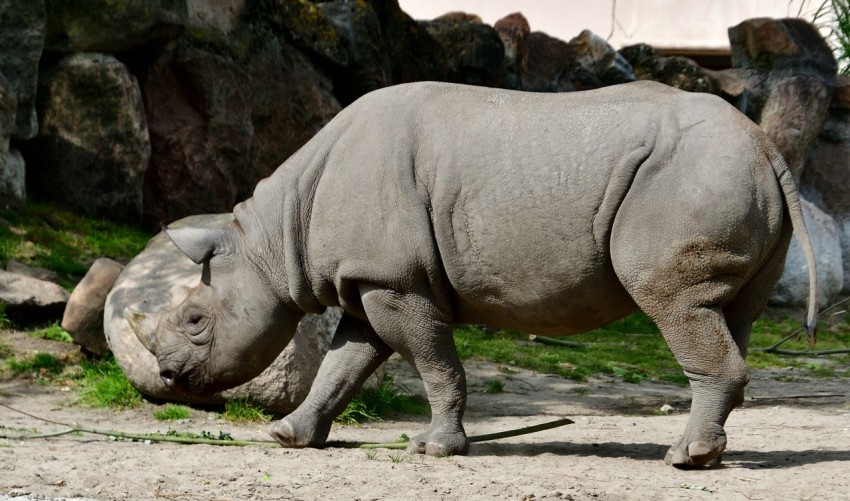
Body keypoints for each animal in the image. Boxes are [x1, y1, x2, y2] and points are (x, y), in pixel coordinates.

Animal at [129, 81, 817, 467]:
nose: (169, 378)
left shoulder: (395, 281)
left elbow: (434, 363)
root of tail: (766, 146)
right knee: (729, 313)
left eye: (195, 319)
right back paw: (708, 455)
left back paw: (682, 461)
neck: (274, 239)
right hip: (731, 178)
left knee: (675, 304)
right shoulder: (370, 279)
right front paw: (288, 437)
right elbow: (342, 363)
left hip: (689, 180)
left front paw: (433, 450)